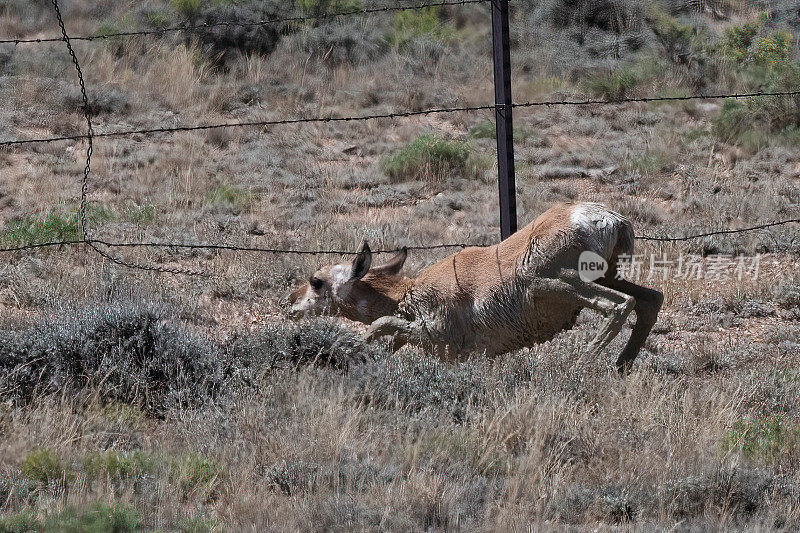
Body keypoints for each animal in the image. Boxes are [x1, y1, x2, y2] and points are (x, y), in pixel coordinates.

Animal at [288, 202, 664, 372]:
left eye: (316, 281)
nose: (290, 304)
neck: (408, 293)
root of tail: (610, 217)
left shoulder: (435, 331)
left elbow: (382, 324)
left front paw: (352, 350)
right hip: (607, 276)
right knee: (650, 299)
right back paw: (621, 366)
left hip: (553, 282)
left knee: (619, 305)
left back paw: (580, 365)